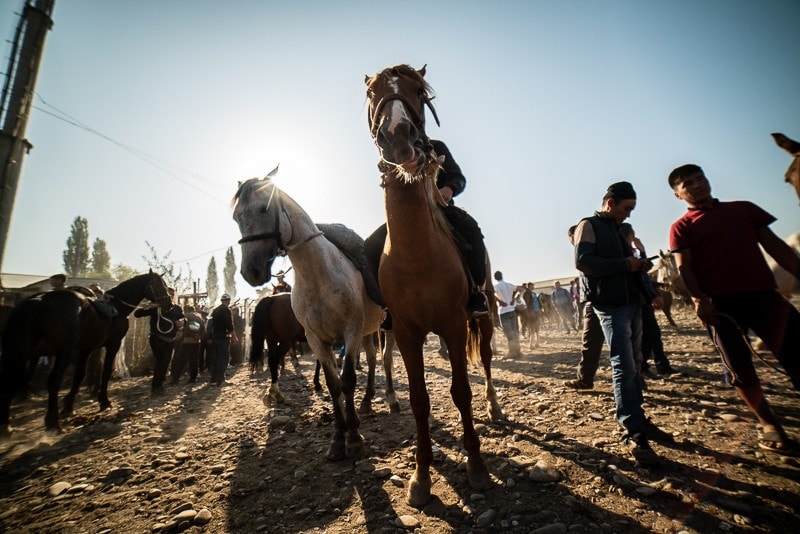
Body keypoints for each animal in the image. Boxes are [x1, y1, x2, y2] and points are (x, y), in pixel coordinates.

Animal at [0, 270, 170, 438]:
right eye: (158, 284)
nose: (168, 302)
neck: (117, 307)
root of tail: (38, 300)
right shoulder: (112, 345)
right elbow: (105, 371)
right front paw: (104, 401)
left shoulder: (85, 348)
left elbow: (80, 375)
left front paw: (68, 406)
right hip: (64, 351)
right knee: (53, 379)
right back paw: (53, 421)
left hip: (22, 351)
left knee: (13, 377)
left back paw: (7, 424)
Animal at [233, 170, 398, 462]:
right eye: (236, 217)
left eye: (264, 209)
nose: (251, 271)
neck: (318, 275)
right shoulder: (316, 339)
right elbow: (333, 384)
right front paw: (338, 438)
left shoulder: (350, 332)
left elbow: (348, 380)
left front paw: (354, 439)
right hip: (366, 331)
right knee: (372, 358)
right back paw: (367, 401)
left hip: (384, 328)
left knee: (386, 359)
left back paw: (391, 399)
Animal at [368, 65, 504, 508]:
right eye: (373, 94)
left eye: (417, 91)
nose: (397, 135)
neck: (416, 254)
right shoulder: (407, 334)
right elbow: (419, 400)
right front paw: (421, 477)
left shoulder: (453, 325)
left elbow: (461, 392)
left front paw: (477, 467)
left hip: (484, 317)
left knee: (488, 361)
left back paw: (495, 407)